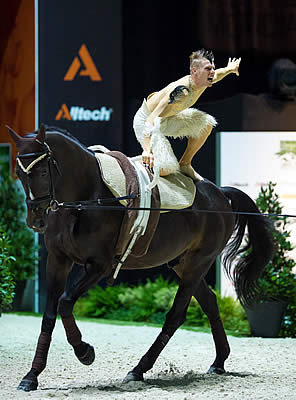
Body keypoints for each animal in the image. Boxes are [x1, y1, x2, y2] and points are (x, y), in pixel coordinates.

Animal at [8, 125, 272, 390]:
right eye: (19, 174)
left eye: (43, 172)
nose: (36, 220)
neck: (86, 200)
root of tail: (220, 194)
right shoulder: (57, 261)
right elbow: (49, 315)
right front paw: (31, 375)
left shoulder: (99, 266)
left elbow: (65, 302)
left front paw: (84, 352)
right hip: (183, 264)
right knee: (209, 303)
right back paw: (218, 362)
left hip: (198, 263)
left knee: (176, 315)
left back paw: (138, 369)